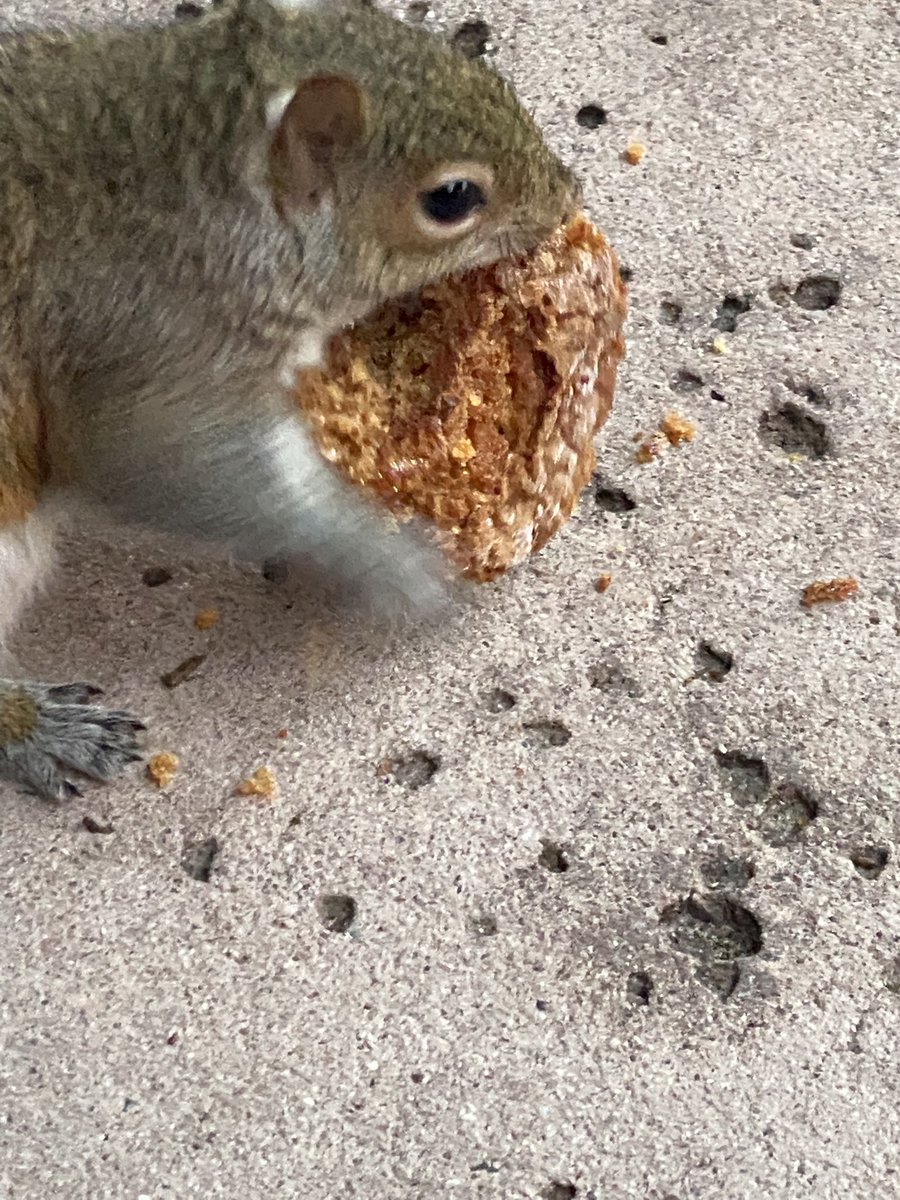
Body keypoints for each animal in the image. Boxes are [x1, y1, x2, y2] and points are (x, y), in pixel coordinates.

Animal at [0, 0, 579, 802]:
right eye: (452, 198)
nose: (570, 193)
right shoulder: (149, 343)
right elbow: (171, 467)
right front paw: (393, 560)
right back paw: (35, 728)